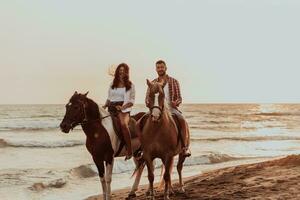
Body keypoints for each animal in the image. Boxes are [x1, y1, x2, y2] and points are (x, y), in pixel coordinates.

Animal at [60, 59, 191, 200]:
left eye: (76, 107)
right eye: (67, 106)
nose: (63, 126)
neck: (97, 132)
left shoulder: (109, 157)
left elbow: (108, 179)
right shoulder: (97, 158)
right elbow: (102, 179)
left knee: (170, 167)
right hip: (138, 153)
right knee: (142, 167)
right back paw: (135, 191)